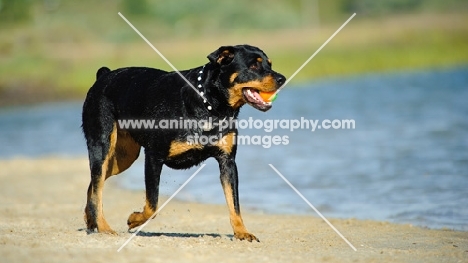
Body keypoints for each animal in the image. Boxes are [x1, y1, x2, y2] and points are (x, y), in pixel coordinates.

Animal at [82, 44, 286, 242]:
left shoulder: (227, 162)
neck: (209, 105)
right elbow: (152, 204)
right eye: (254, 65)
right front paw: (134, 219)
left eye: (269, 64)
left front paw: (242, 232)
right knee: (98, 184)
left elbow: (234, 203)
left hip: (124, 157)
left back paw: (91, 219)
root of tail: (104, 75)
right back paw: (104, 227)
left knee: (94, 185)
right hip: (102, 145)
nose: (282, 78)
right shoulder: (154, 156)